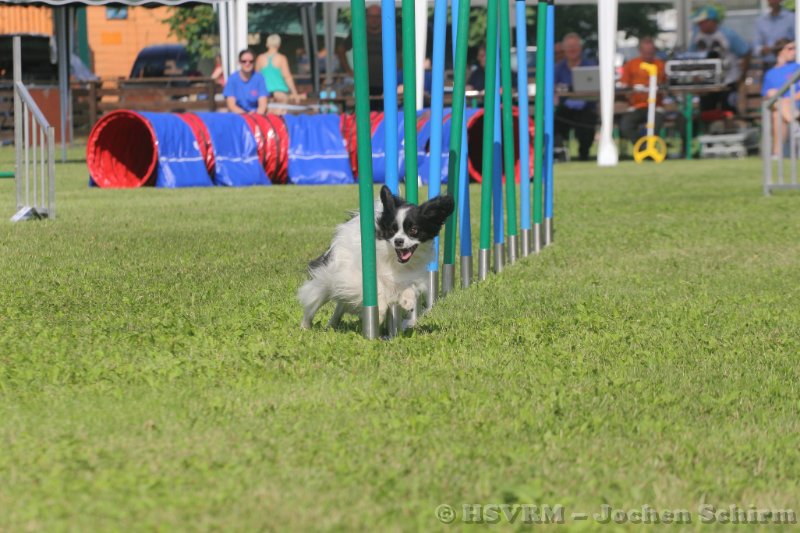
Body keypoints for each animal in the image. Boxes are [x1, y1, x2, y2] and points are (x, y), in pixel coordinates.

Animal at [299, 185, 455, 329]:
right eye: (392, 230)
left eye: (413, 230)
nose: (398, 241)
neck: (393, 259)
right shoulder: (354, 276)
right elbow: (379, 288)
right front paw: (379, 313)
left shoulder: (410, 276)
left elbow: (409, 287)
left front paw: (407, 300)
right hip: (325, 282)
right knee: (312, 303)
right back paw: (305, 326)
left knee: (340, 306)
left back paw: (332, 324)